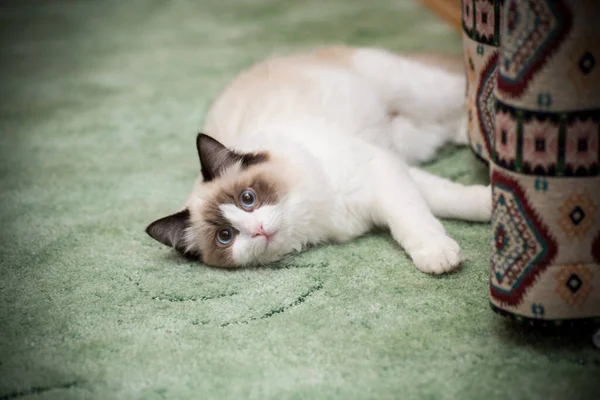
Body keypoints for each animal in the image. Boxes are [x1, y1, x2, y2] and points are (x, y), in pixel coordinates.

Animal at [146, 45, 492, 274]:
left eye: (248, 198)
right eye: (225, 237)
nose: (258, 229)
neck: (313, 213)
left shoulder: (377, 169)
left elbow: (414, 218)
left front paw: (439, 254)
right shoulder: (391, 169)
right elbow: (446, 200)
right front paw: (492, 206)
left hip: (420, 93)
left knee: (466, 91)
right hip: (416, 138)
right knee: (456, 123)